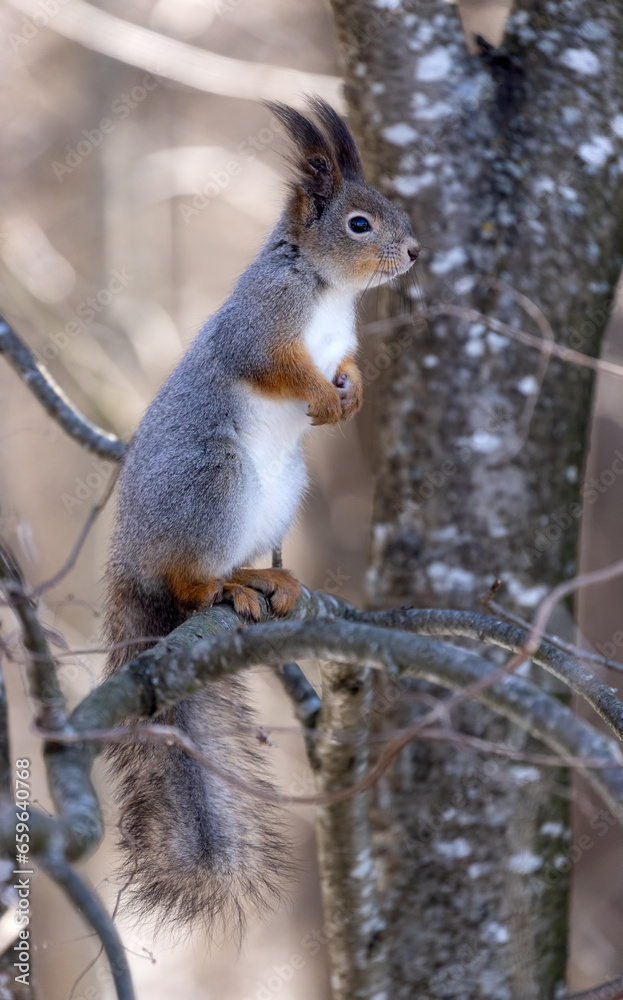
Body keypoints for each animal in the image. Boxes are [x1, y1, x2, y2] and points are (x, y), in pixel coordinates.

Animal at [102, 97, 420, 932]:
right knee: (187, 585)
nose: (413, 250)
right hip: (213, 485)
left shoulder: (339, 343)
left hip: (280, 493)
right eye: (359, 224)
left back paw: (263, 580)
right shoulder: (260, 323)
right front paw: (316, 396)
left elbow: (347, 367)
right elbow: (273, 365)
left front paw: (349, 394)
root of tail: (130, 562)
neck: (326, 290)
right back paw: (222, 589)